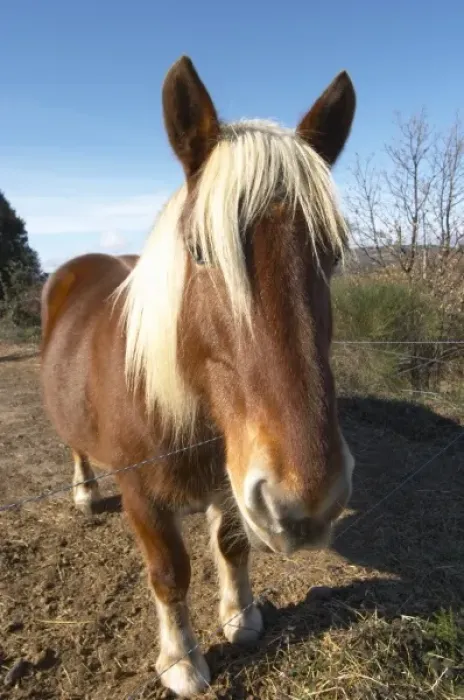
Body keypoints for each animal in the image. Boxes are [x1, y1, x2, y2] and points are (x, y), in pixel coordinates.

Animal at [40, 55, 356, 697]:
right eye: (202, 251)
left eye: (331, 255)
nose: (308, 502)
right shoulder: (142, 496)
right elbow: (170, 572)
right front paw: (182, 660)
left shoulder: (232, 483)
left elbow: (232, 546)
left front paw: (242, 617)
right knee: (76, 446)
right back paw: (84, 491)